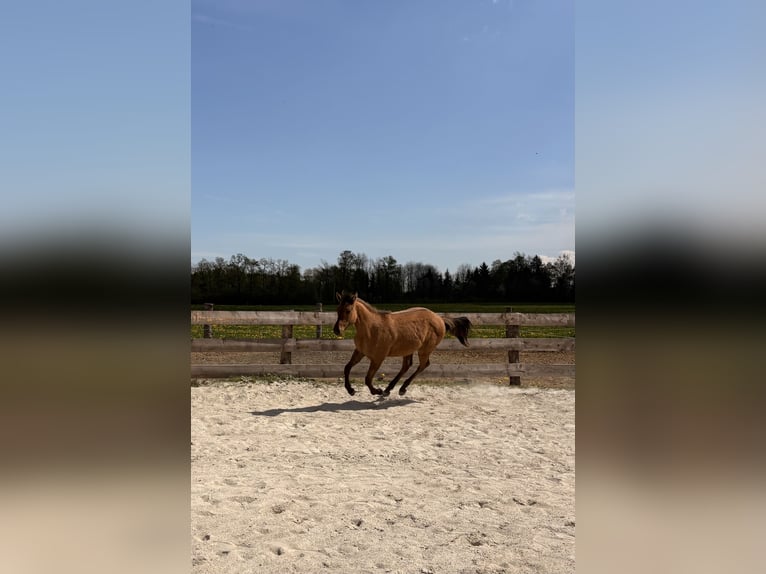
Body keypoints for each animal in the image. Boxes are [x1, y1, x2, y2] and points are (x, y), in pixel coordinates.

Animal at [332, 291, 472, 397]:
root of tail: (440, 319)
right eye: (337, 309)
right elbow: (347, 368)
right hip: (408, 349)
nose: (336, 330)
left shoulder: (378, 358)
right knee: (407, 366)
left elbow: (367, 379)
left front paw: (377, 391)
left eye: (348, 310)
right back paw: (390, 389)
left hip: (424, 350)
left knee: (423, 365)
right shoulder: (360, 352)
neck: (371, 329)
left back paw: (401, 389)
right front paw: (351, 390)